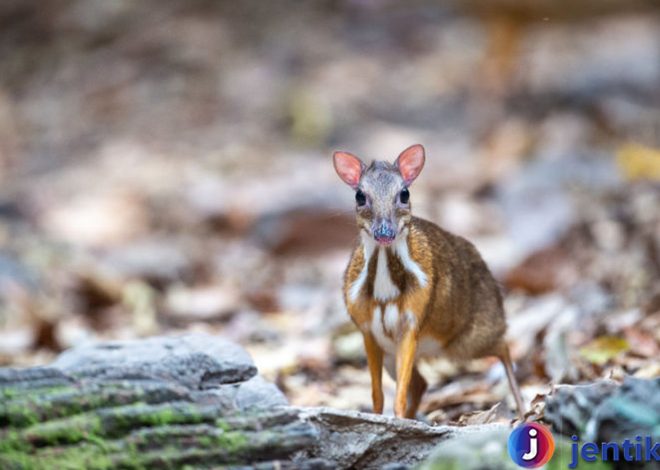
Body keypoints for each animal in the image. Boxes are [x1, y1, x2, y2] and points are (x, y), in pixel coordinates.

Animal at [336, 143, 524, 418]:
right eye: (360, 196)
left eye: (404, 193)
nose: (384, 233)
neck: (385, 288)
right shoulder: (367, 330)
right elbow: (378, 394)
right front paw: (381, 419)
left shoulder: (412, 321)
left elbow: (399, 394)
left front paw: (398, 420)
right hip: (394, 352)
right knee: (422, 383)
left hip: (470, 339)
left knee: (504, 346)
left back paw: (523, 408)